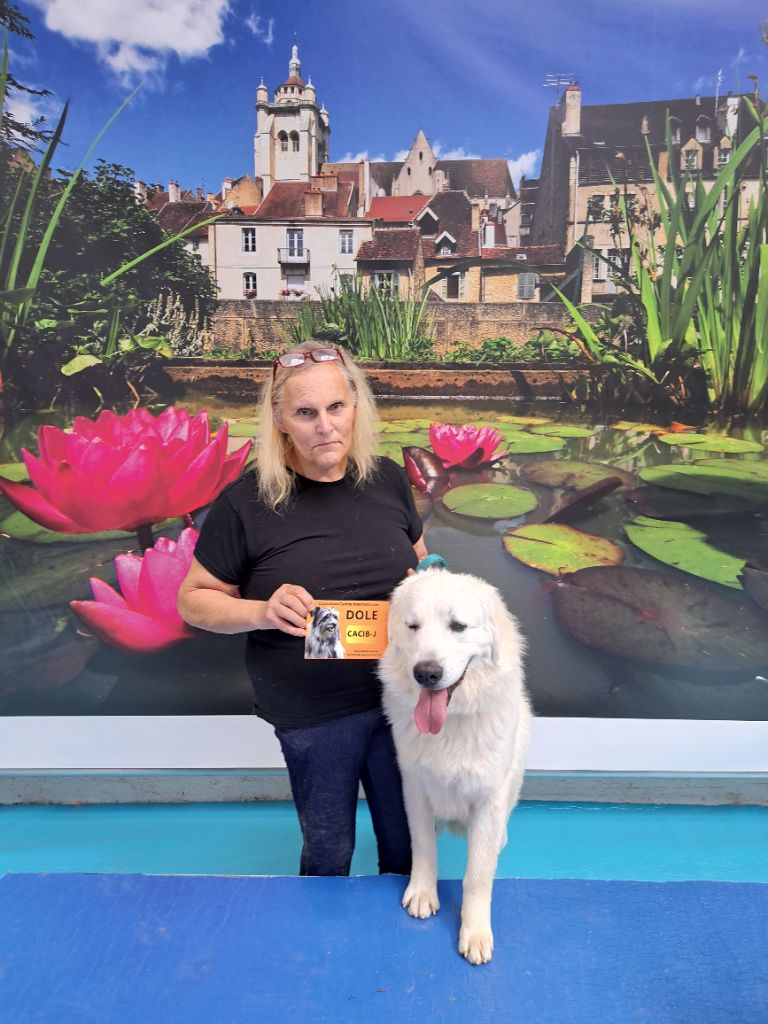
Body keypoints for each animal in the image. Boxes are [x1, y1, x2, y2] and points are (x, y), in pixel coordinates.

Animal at [378, 568, 531, 965]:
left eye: (458, 626)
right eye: (413, 626)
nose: (426, 673)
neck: (451, 723)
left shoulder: (489, 799)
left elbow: (477, 875)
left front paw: (475, 932)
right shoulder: (414, 788)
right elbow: (422, 845)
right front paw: (422, 892)